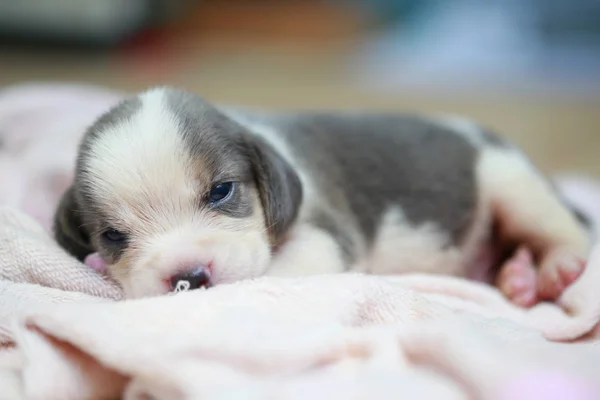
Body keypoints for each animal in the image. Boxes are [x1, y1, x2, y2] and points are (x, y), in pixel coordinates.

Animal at [54, 85, 592, 304]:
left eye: (221, 191)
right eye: (113, 236)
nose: (188, 277)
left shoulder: (327, 234)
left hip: (511, 182)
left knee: (562, 229)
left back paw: (555, 265)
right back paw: (517, 276)